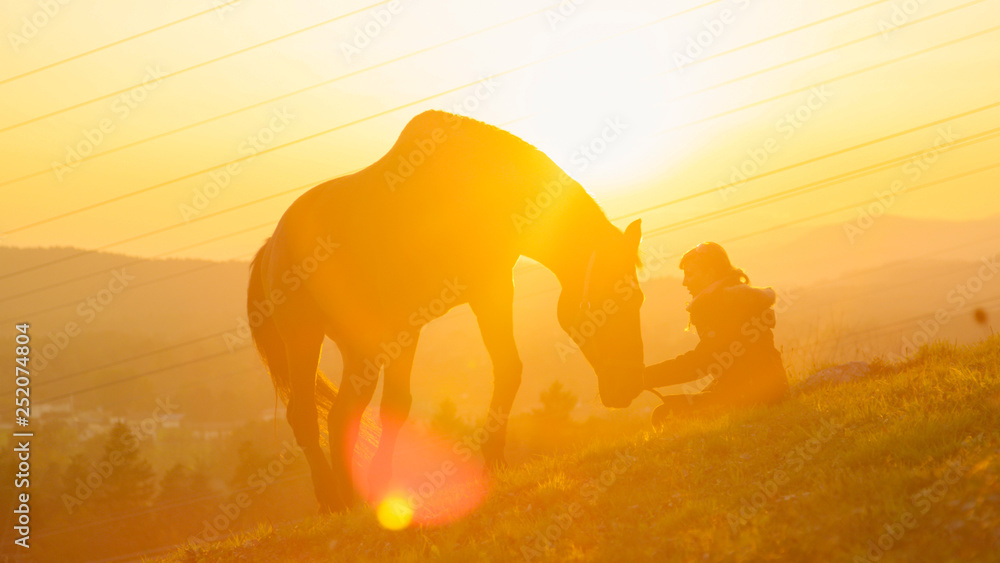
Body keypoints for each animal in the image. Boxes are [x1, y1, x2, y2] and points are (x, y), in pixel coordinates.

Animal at [246, 110, 644, 512]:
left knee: (342, 415)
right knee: (305, 416)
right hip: (304, 338)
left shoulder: (484, 295)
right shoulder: (457, 304)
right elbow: (480, 376)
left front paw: (493, 461)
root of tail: (271, 247)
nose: (629, 386)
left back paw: (352, 498)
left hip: (360, 349)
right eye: (610, 302)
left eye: (639, 299)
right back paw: (333, 499)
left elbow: (502, 372)